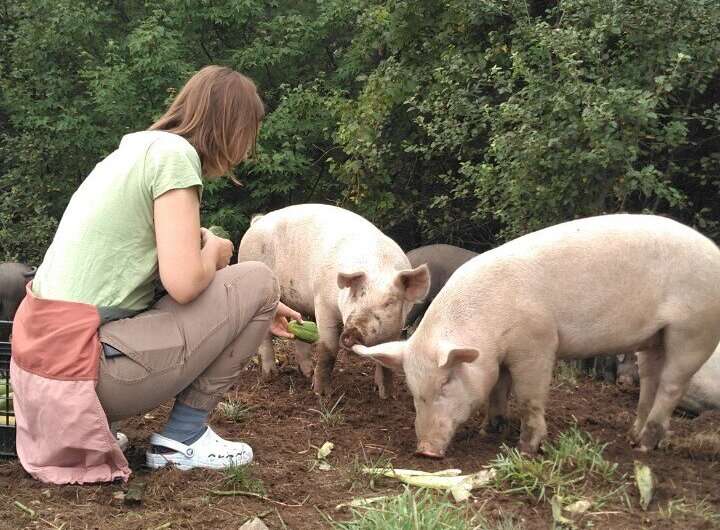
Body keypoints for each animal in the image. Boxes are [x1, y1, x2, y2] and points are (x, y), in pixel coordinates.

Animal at [238, 204, 428, 394]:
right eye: (355, 294)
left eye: (390, 302)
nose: (353, 331)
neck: (378, 266)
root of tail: (258, 221)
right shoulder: (322, 302)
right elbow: (328, 348)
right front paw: (321, 393)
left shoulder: (397, 325)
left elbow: (385, 363)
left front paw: (386, 394)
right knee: (265, 337)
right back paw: (270, 375)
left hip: (298, 301)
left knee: (299, 330)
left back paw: (307, 373)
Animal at [352, 214, 720, 454]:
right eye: (414, 391)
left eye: (445, 383)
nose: (425, 451)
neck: (488, 329)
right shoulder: (499, 356)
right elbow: (497, 389)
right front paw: (489, 431)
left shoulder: (537, 345)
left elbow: (529, 396)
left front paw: (526, 448)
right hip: (657, 338)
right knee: (650, 381)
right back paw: (632, 437)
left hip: (694, 330)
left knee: (672, 385)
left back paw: (644, 447)